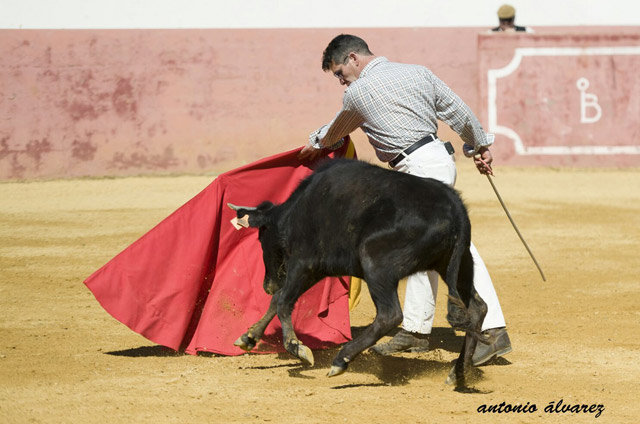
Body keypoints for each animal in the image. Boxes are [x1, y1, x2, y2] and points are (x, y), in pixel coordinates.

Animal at [229, 159, 490, 388]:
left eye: (261, 237)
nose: (267, 285)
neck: (296, 210)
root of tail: (455, 208)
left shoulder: (304, 262)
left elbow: (283, 301)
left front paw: (298, 348)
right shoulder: (315, 269)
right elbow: (278, 299)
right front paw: (248, 337)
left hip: (375, 263)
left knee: (389, 315)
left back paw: (341, 360)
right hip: (457, 267)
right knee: (478, 308)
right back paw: (457, 372)